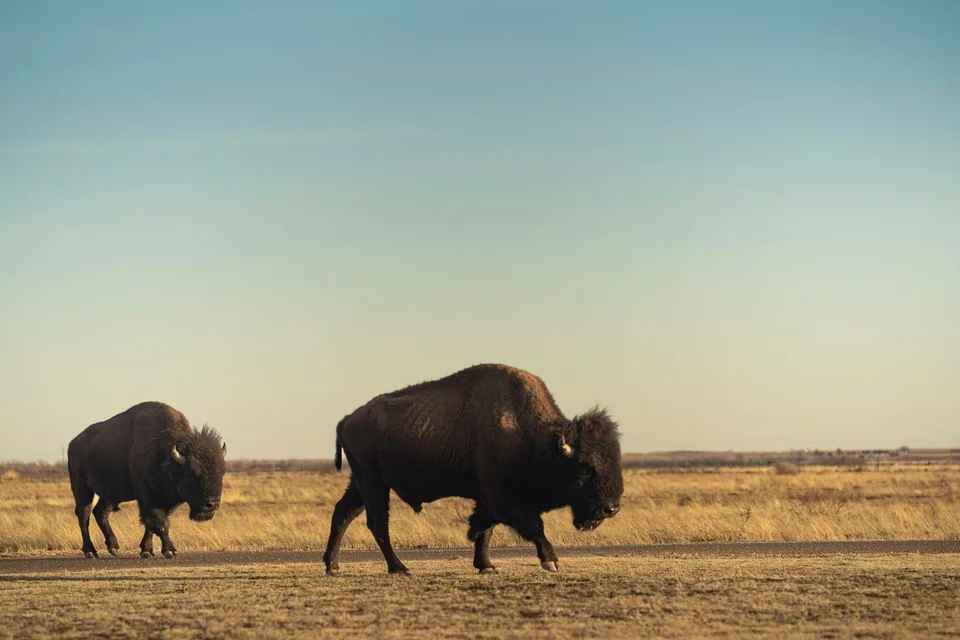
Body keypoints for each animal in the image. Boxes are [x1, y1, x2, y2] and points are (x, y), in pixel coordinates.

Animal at [67, 401, 227, 559]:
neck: (165, 455)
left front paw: (147, 550)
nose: (212, 504)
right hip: (82, 487)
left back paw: (113, 547)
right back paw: (90, 551)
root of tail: (72, 443)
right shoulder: (148, 496)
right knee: (84, 515)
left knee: (100, 512)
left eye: (222, 472)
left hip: (110, 494)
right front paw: (169, 550)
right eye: (192, 473)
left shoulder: (164, 500)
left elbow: (152, 525)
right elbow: (159, 522)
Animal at [323, 363, 624, 575]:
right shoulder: (505, 499)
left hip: (362, 483)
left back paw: (332, 566)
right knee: (377, 522)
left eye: (614, 460)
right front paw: (551, 561)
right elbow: (532, 526)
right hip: (373, 483)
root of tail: (345, 420)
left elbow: (484, 529)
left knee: (343, 513)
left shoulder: (487, 498)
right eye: (585, 469)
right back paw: (399, 568)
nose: (610, 508)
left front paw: (486, 565)